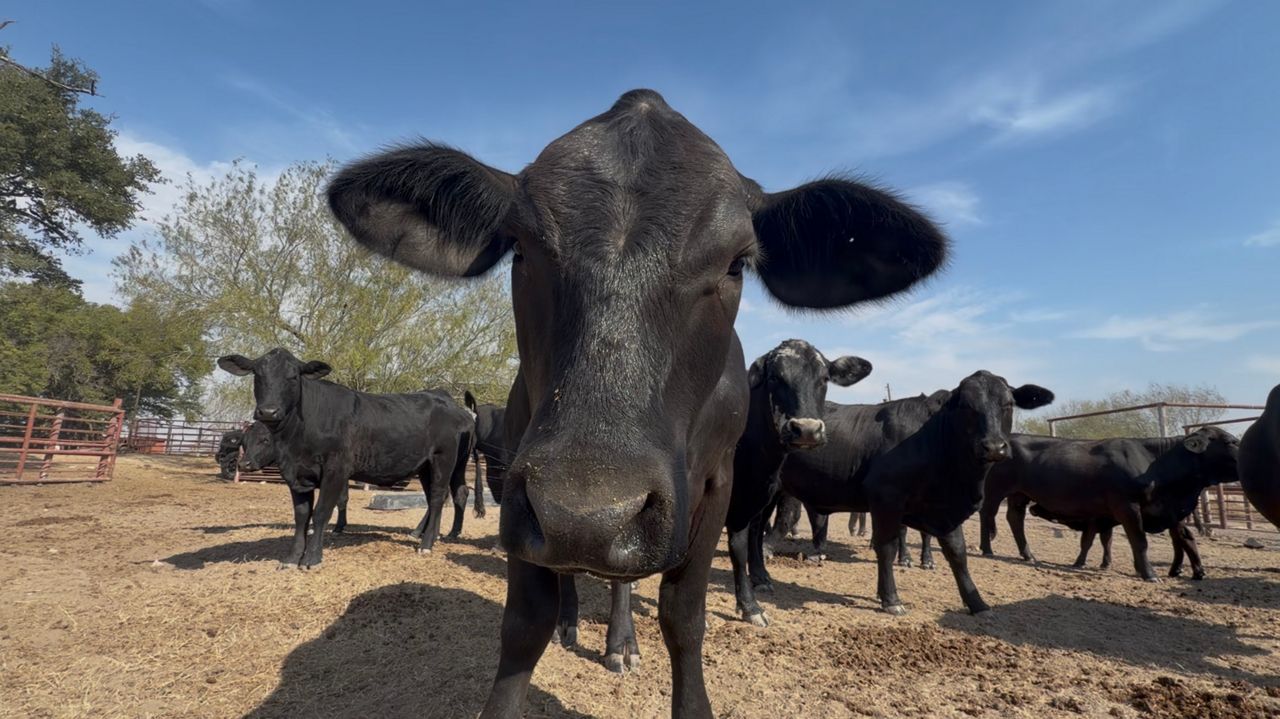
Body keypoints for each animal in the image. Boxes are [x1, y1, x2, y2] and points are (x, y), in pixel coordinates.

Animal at [217, 349, 476, 567]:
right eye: (257, 374)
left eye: (293, 377)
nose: (268, 411)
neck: (295, 441)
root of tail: (449, 402)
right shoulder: (296, 475)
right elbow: (301, 516)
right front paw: (291, 558)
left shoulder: (336, 469)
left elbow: (322, 512)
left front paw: (311, 558)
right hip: (424, 466)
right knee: (436, 497)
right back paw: (425, 534)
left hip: (444, 459)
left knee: (438, 497)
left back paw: (427, 544)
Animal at [727, 339, 873, 626]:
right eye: (775, 377)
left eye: (824, 378)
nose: (806, 429)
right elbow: (737, 545)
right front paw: (750, 606)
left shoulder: (759, 495)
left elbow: (751, 537)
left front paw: (757, 585)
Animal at [739, 373, 1052, 618]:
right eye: (967, 407)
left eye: (1007, 404)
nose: (994, 447)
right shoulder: (886, 499)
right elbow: (886, 548)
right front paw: (891, 599)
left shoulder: (942, 508)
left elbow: (958, 553)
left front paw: (977, 603)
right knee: (759, 529)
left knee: (757, 530)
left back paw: (761, 576)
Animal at [978, 427, 1240, 581]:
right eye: (1231, 441)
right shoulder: (1127, 506)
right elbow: (1139, 541)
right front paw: (1149, 574)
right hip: (994, 490)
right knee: (987, 514)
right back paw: (987, 549)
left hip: (1019, 494)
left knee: (1015, 519)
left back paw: (1028, 555)